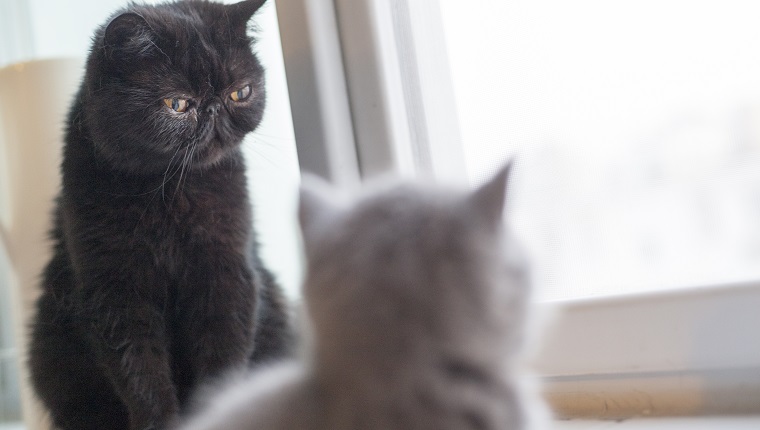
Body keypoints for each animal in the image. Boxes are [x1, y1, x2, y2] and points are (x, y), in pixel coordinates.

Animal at [29, 1, 290, 428]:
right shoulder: (115, 290)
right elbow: (140, 372)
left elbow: (223, 356)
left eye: (240, 92)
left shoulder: (226, 272)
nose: (214, 109)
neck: (170, 192)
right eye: (178, 104)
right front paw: (159, 420)